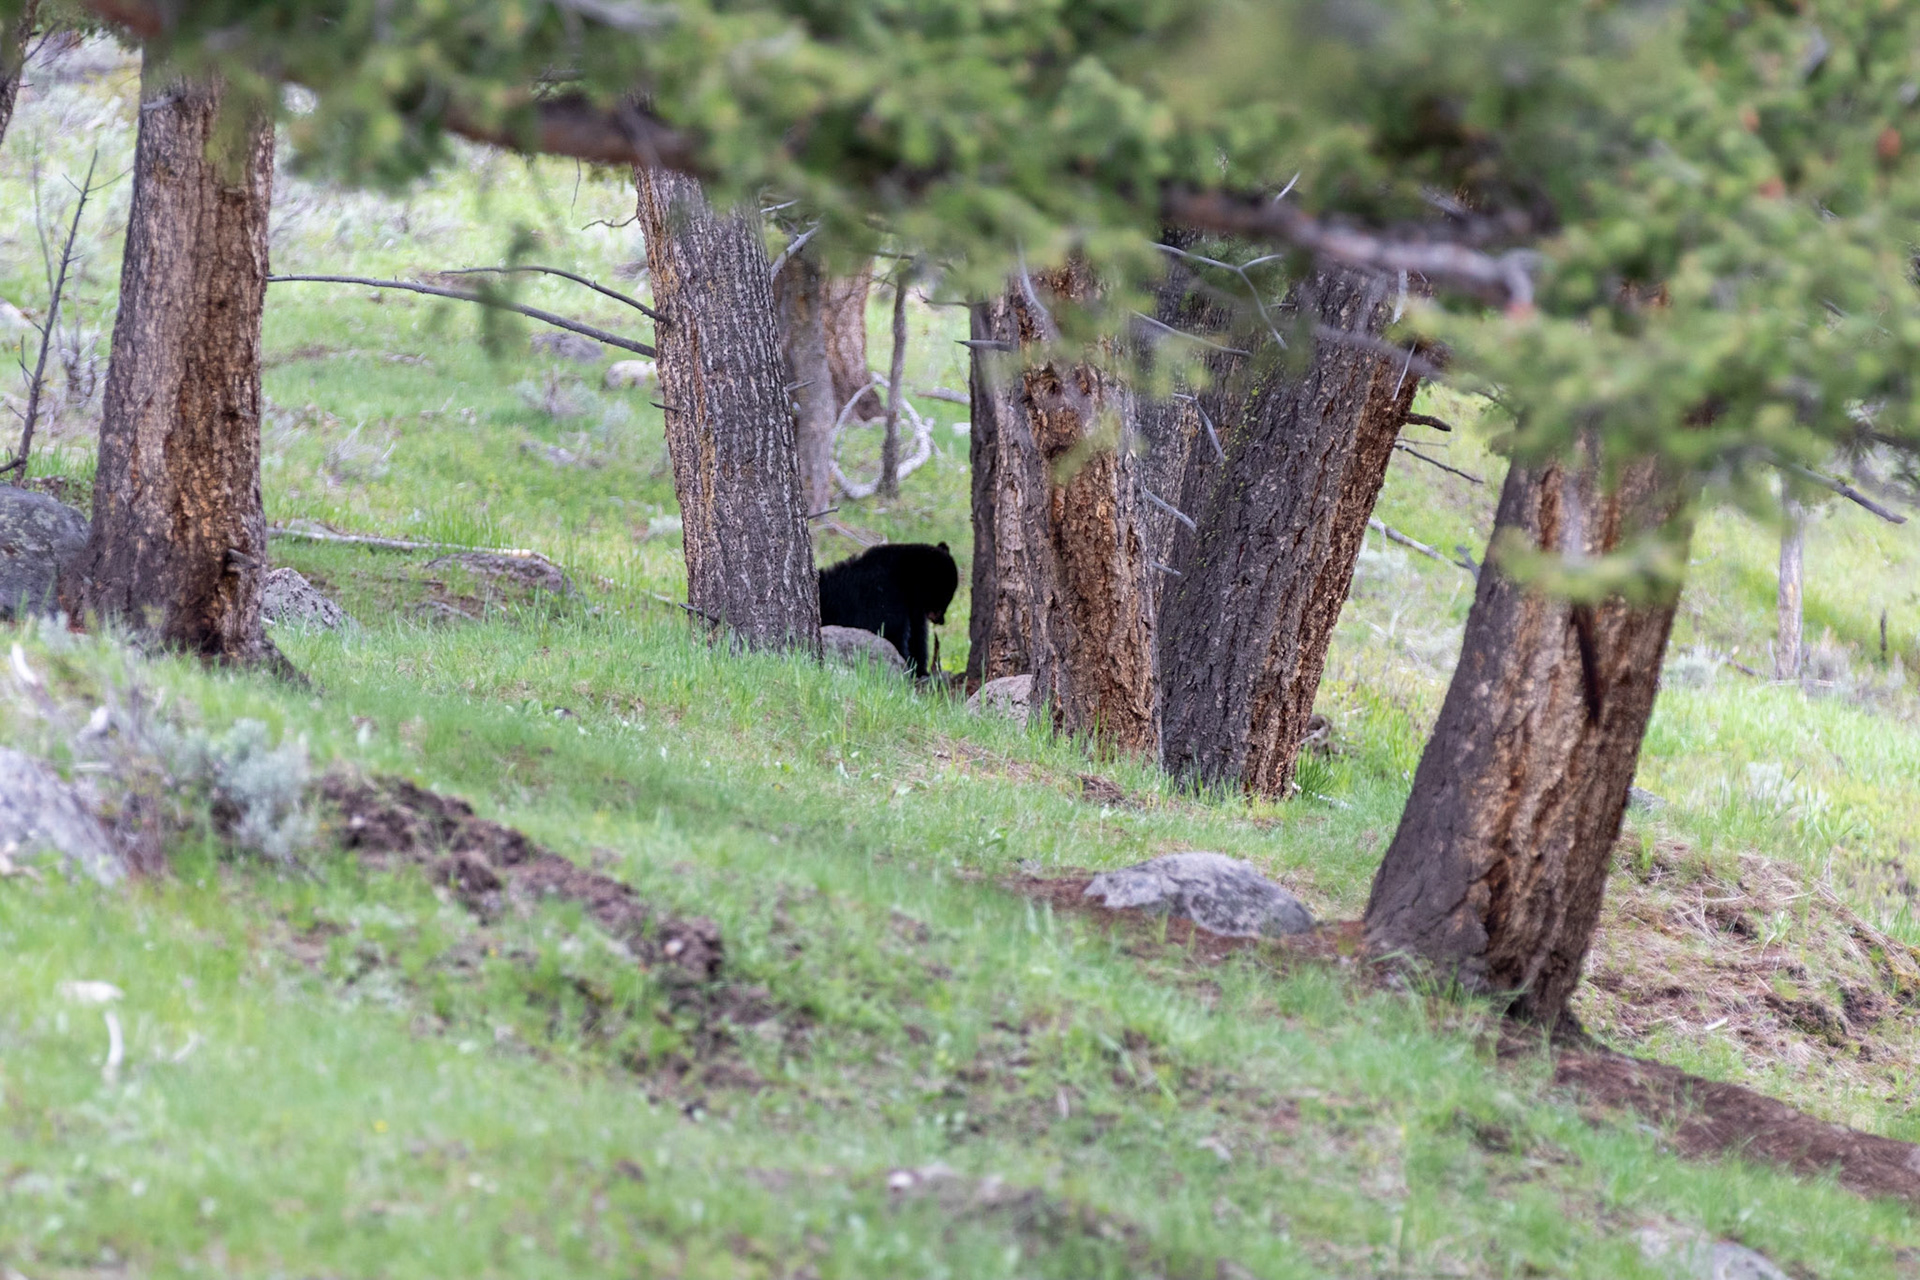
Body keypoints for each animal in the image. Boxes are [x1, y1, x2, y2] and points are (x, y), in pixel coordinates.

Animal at [817, 542, 959, 678]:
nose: (941, 620)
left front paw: (921, 671)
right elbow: (888, 631)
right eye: (944, 596)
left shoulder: (913, 610)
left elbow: (917, 638)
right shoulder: (881, 596)